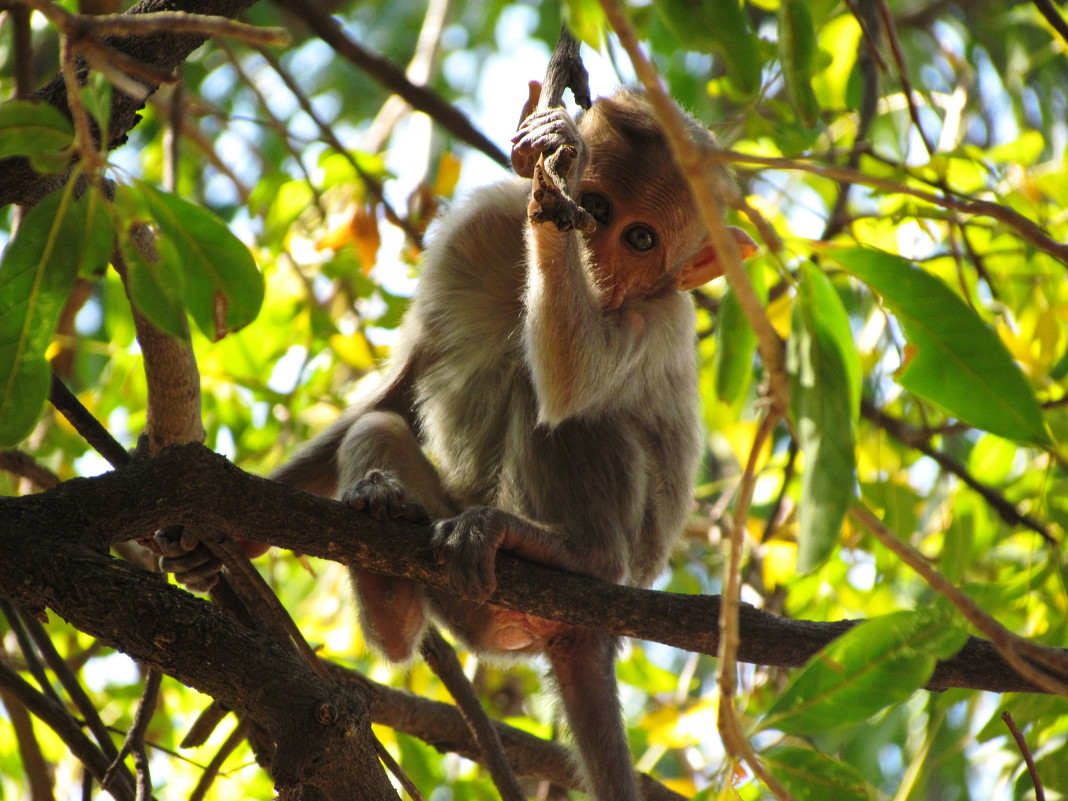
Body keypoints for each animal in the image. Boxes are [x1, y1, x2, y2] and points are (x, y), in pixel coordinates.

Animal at [160, 83, 760, 801]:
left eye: (641, 239)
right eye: (595, 210)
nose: (595, 263)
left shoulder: (661, 317)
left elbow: (571, 377)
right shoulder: (477, 228)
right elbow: (397, 392)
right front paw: (211, 536)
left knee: (563, 404)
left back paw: (576, 552)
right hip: (471, 607)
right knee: (380, 432)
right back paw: (386, 570)